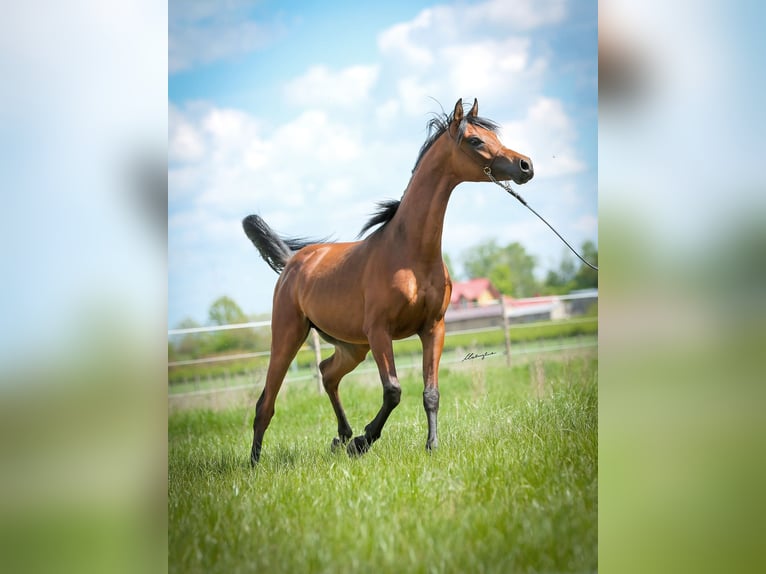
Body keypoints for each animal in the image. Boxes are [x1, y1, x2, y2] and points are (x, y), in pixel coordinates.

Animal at [243, 98, 533, 465]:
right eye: (476, 140)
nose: (526, 165)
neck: (410, 253)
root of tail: (293, 263)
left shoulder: (433, 328)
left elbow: (431, 392)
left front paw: (431, 446)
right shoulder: (380, 331)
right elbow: (393, 390)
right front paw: (364, 441)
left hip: (352, 346)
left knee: (327, 372)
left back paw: (340, 437)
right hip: (288, 336)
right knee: (265, 402)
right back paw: (256, 463)